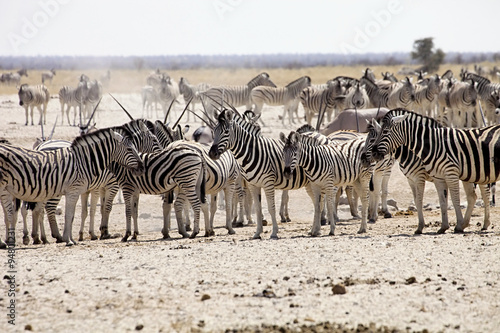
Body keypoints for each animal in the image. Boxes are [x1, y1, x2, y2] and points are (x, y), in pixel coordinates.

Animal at [0, 124, 145, 246]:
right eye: (129, 149)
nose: (142, 167)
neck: (85, 161)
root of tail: (40, 146)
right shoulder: (90, 188)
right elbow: (77, 213)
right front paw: (70, 239)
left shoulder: (83, 190)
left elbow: (79, 213)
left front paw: (78, 237)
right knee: (41, 210)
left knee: (30, 211)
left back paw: (34, 238)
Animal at [209, 107, 310, 237]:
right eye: (214, 131)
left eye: (226, 132)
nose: (212, 153)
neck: (252, 153)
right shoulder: (253, 184)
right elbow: (257, 208)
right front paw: (258, 233)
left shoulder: (268, 183)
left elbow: (271, 208)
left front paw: (274, 232)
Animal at [368, 107, 496, 232]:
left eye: (382, 133)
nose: (371, 155)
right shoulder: (411, 179)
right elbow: (418, 200)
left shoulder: (420, 177)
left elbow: (420, 200)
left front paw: (421, 227)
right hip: (468, 175)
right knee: (472, 197)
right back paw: (467, 224)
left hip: (480, 173)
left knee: (485, 194)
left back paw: (485, 224)